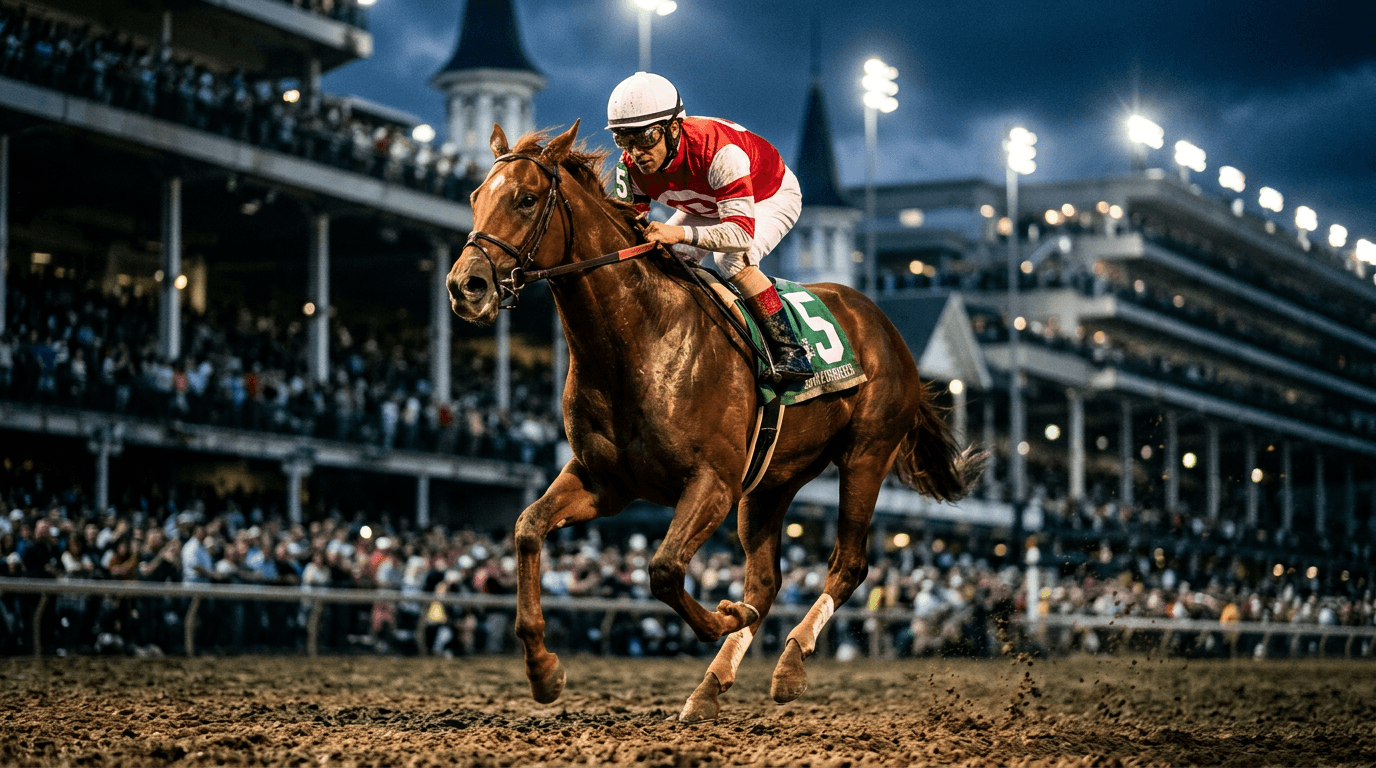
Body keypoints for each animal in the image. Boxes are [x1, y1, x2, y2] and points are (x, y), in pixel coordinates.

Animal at [446, 120, 985, 722]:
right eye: (475, 196)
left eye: (526, 198)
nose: (465, 286)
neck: (640, 342)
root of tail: (884, 325)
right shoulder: (605, 481)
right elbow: (527, 528)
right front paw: (542, 669)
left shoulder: (714, 481)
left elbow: (663, 569)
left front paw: (726, 616)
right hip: (772, 481)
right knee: (766, 580)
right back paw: (711, 685)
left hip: (865, 455)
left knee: (848, 563)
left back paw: (790, 664)